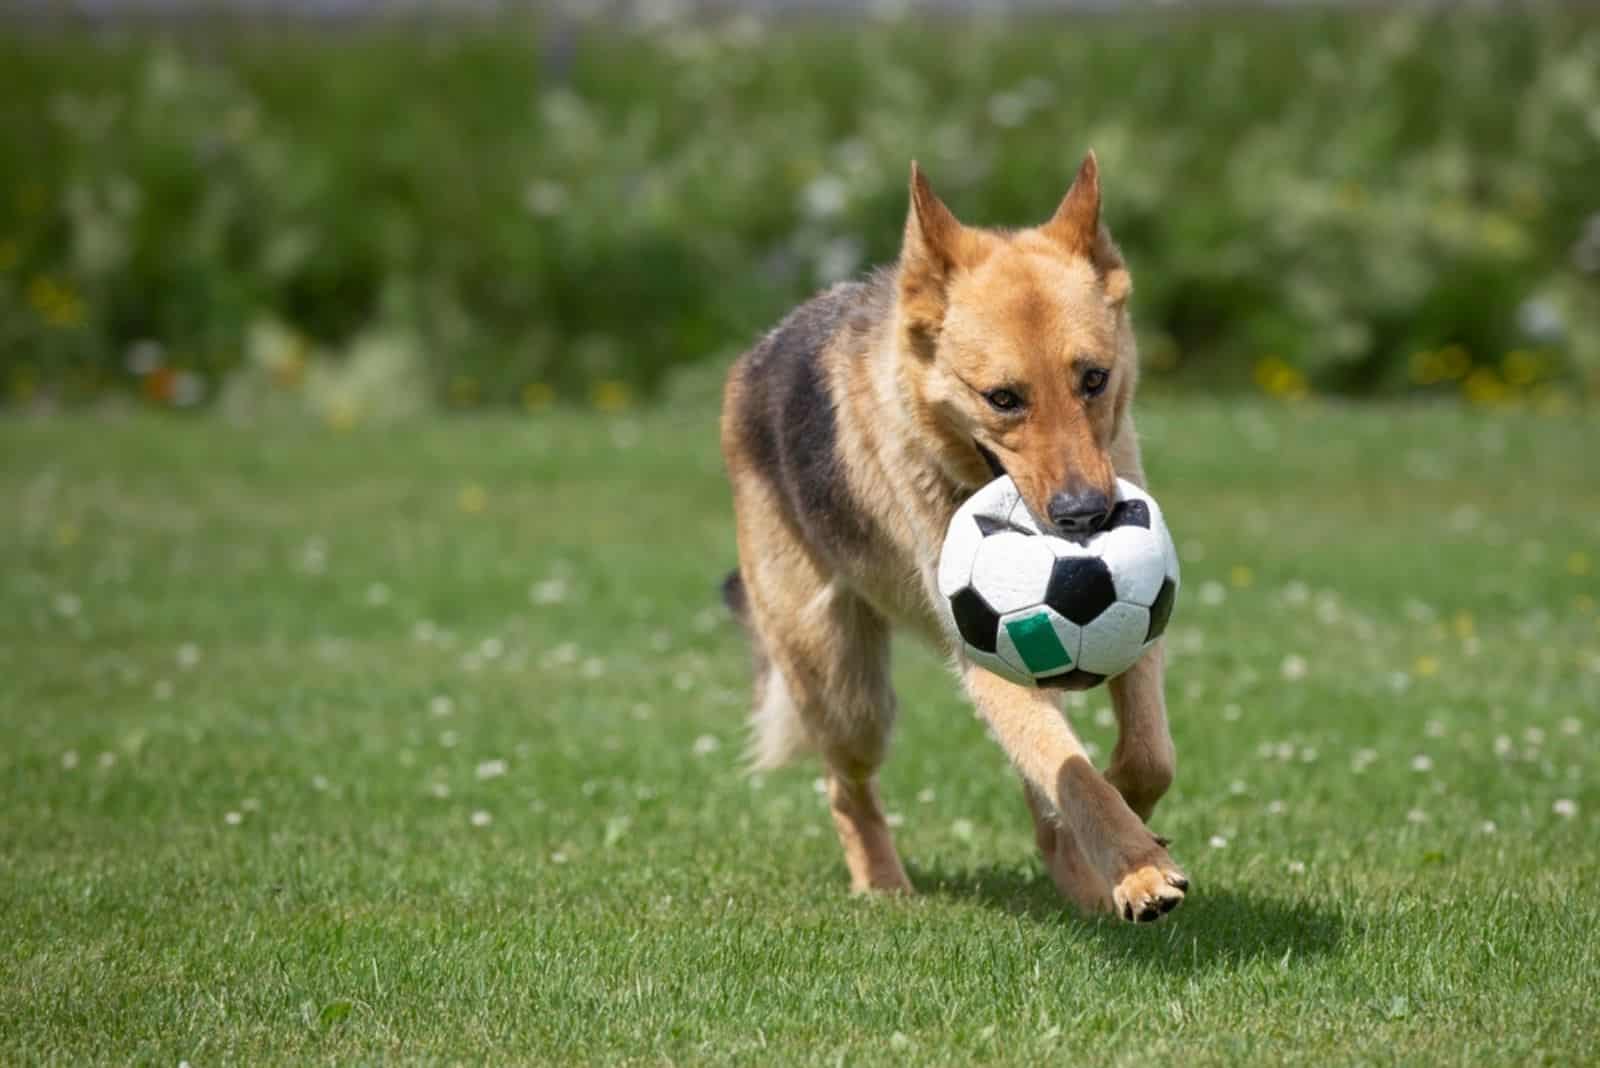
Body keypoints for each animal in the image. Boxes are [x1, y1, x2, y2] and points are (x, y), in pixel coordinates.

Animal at [720, 154, 1184, 920]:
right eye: (1003, 399)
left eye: (1094, 379)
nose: (1085, 516)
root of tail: (752, 362)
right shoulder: (986, 656)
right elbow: (1074, 774)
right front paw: (1138, 867)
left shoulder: (1141, 621)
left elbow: (1144, 756)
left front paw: (1127, 817)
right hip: (845, 690)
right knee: (846, 788)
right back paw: (883, 888)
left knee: (1045, 796)